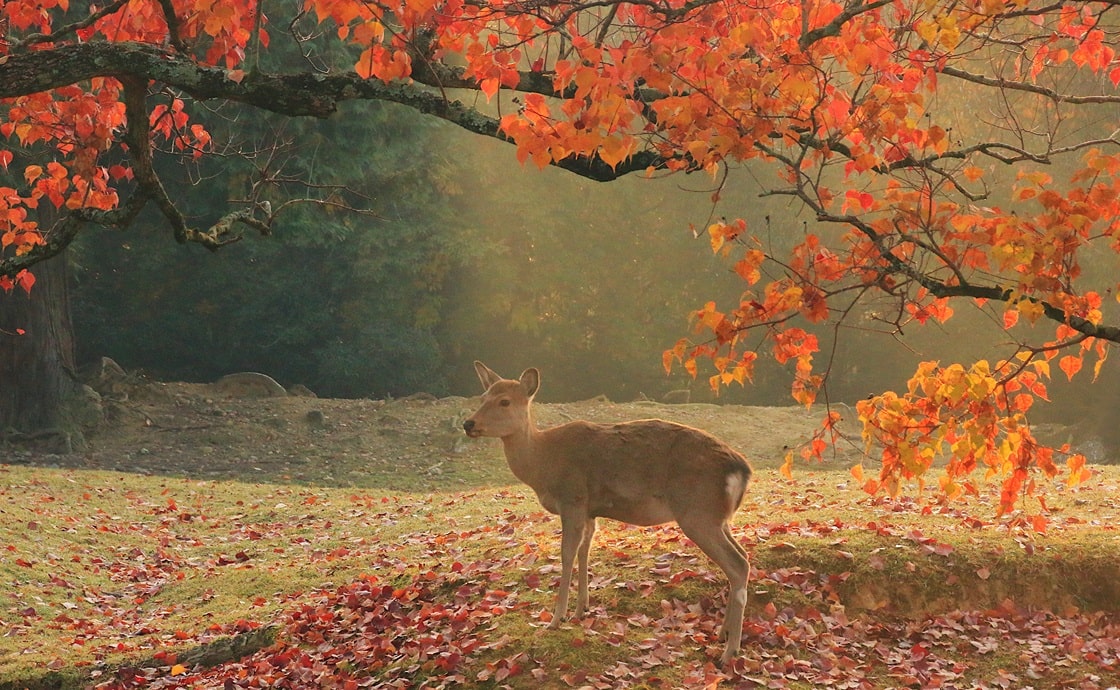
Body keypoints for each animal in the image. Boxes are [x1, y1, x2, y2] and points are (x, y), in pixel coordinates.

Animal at [463, 360, 752, 667]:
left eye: (504, 401)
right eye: (483, 397)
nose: (468, 424)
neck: (543, 465)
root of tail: (742, 469)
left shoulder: (573, 498)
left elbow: (566, 555)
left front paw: (556, 619)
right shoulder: (590, 511)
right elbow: (584, 551)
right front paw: (581, 609)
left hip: (697, 512)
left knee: (737, 564)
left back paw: (729, 652)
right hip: (718, 517)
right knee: (742, 557)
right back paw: (723, 633)